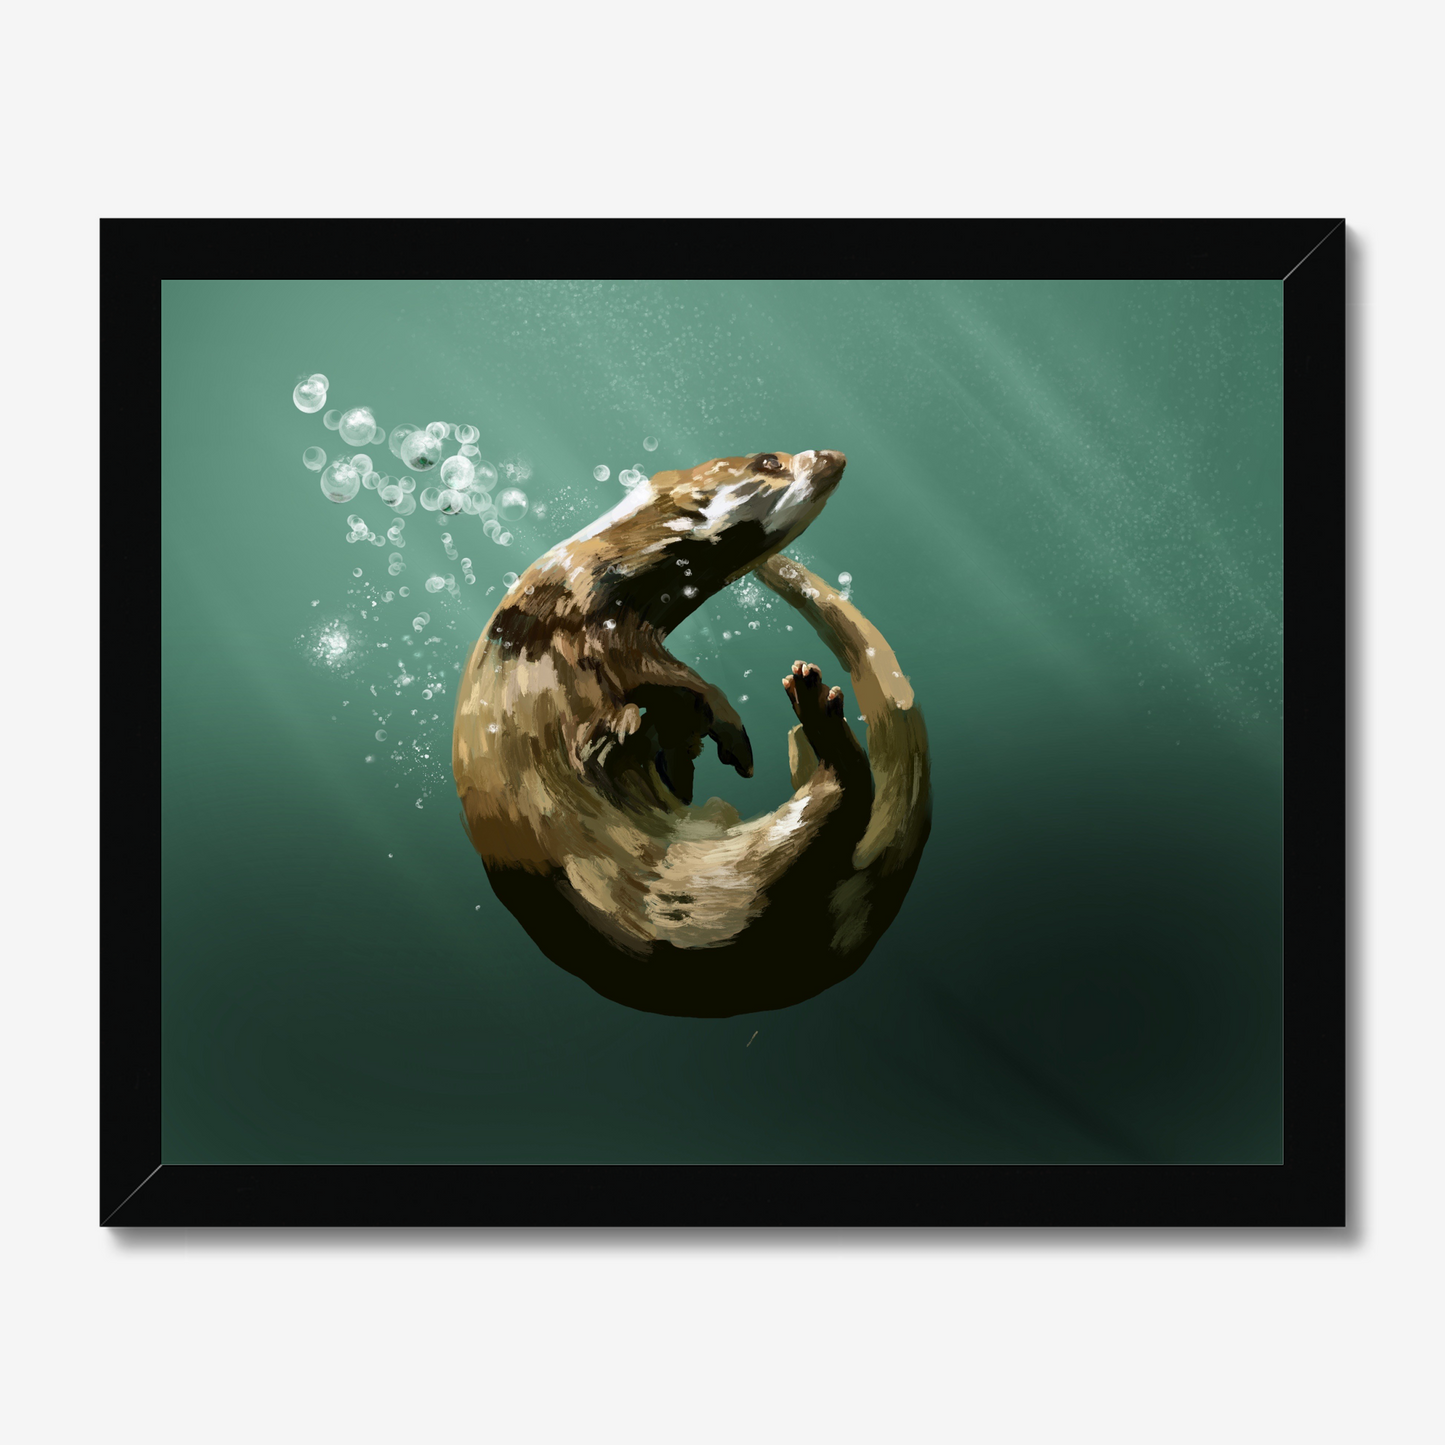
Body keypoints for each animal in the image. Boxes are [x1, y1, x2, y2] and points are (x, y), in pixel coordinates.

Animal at [452, 449, 931, 1017]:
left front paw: (678, 756)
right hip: (738, 896)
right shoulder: (605, 634)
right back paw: (813, 709)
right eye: (769, 461)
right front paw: (721, 738)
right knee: (839, 795)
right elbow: (678, 685)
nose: (831, 456)